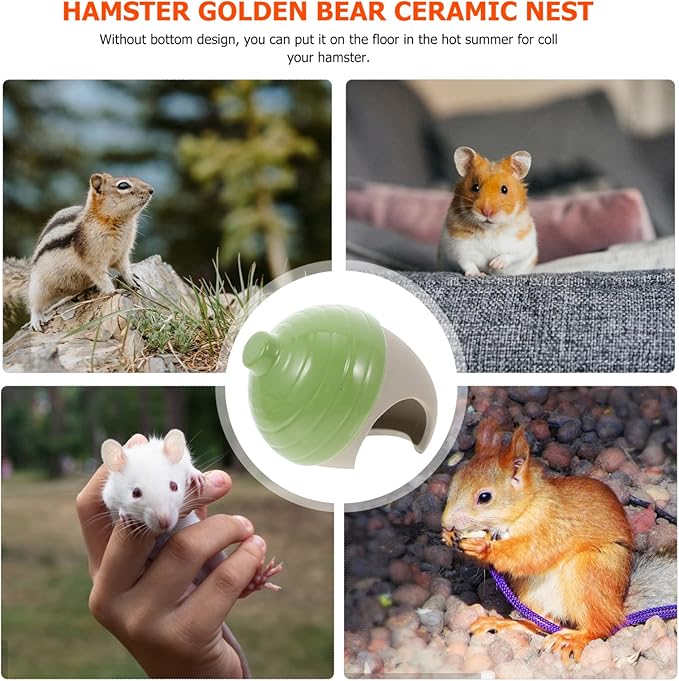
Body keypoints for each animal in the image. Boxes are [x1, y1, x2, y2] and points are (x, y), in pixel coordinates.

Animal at [3, 173, 153, 331]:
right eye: (123, 186)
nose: (151, 190)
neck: (120, 222)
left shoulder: (122, 254)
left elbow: (124, 268)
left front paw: (131, 279)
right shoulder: (92, 260)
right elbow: (101, 278)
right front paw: (113, 291)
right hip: (39, 286)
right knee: (34, 304)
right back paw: (36, 320)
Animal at [438, 146, 538, 276]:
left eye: (504, 189)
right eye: (475, 187)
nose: (487, 211)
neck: (490, 230)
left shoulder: (524, 243)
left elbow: (511, 255)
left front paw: (494, 264)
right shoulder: (459, 246)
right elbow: (467, 262)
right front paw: (478, 274)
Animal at [441, 418, 676, 664]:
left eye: (484, 497)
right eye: (453, 484)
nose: (446, 523)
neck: (526, 509)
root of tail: (618, 607)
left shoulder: (552, 528)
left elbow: (529, 554)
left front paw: (484, 548)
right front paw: (449, 537)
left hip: (588, 572)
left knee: (601, 627)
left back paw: (575, 638)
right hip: (531, 593)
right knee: (541, 623)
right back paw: (503, 623)